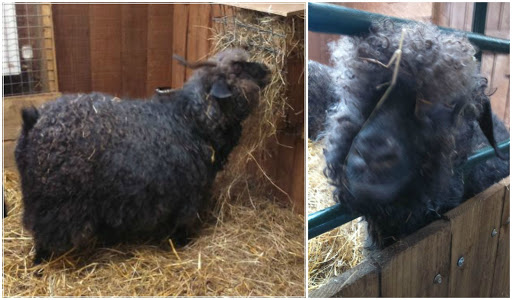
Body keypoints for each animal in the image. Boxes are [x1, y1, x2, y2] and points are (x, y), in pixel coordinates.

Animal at [14, 48, 270, 264]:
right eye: (239, 69)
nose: (267, 70)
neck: (191, 119)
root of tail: (34, 120)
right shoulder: (188, 193)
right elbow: (183, 223)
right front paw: (182, 243)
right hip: (55, 201)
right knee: (42, 231)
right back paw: (40, 260)